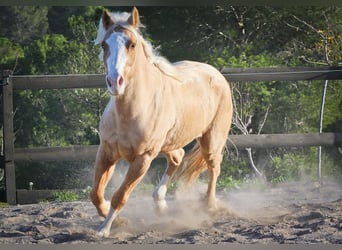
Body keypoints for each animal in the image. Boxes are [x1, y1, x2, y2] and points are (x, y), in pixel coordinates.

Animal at [91, 6, 234, 236]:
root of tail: (216, 73)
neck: (128, 113)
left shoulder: (143, 159)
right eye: (104, 44)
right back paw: (160, 203)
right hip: (169, 142)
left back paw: (209, 205)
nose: (115, 82)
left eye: (132, 44)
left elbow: (120, 196)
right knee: (178, 157)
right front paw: (116, 221)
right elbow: (96, 194)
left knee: (214, 166)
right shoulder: (107, 152)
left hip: (211, 141)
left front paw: (104, 229)